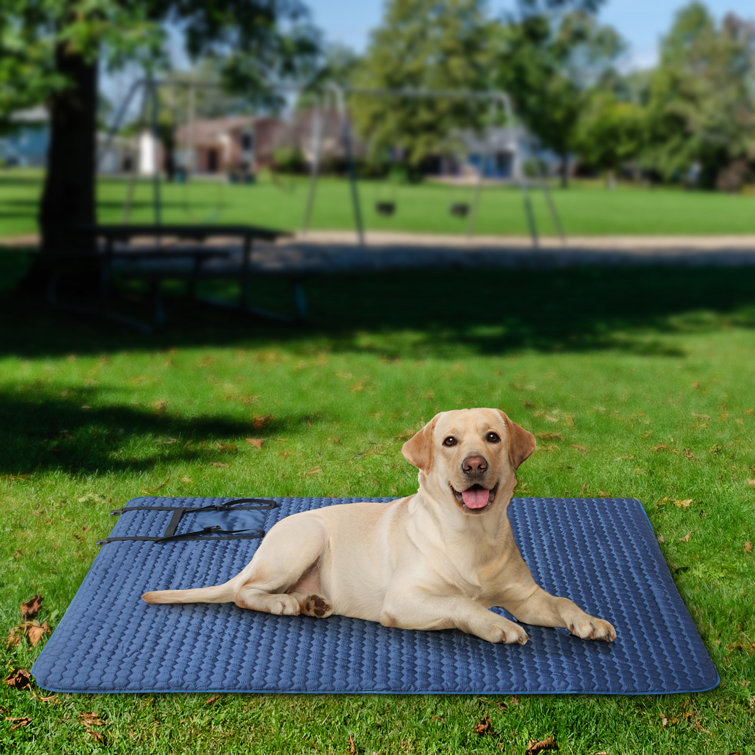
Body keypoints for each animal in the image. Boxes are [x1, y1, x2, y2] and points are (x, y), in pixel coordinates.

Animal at [145, 410, 616, 648]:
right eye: (449, 442)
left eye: (492, 437)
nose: (474, 465)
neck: (472, 534)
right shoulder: (405, 599)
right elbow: (462, 604)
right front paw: (493, 623)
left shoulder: (526, 597)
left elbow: (561, 601)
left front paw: (588, 620)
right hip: (305, 538)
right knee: (245, 592)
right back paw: (283, 603)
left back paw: (308, 602)